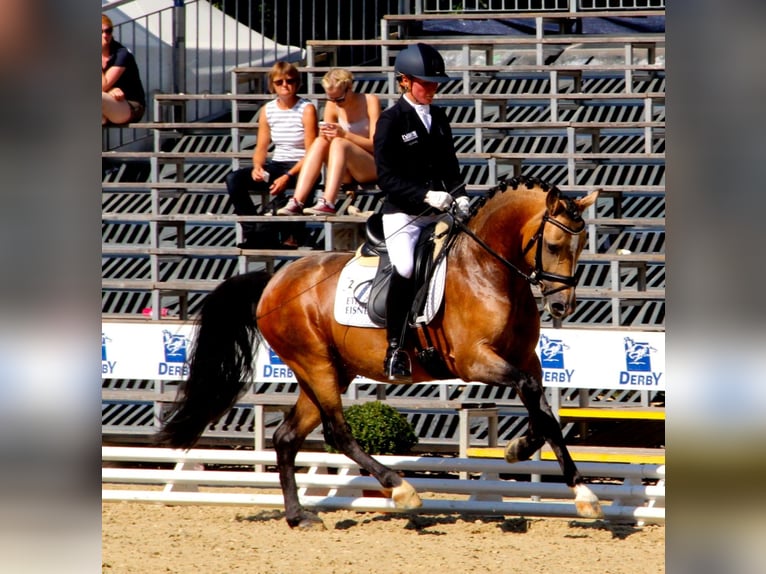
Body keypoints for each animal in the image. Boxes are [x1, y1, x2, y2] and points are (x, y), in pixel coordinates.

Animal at [158, 175, 601, 529]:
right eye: (555, 244)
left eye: (581, 245)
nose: (562, 306)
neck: (488, 270)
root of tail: (274, 279)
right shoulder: (475, 361)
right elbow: (530, 393)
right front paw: (570, 484)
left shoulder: (527, 359)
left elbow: (543, 410)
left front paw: (542, 465)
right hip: (315, 364)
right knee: (337, 431)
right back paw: (400, 488)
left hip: (330, 370)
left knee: (287, 437)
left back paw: (299, 516)